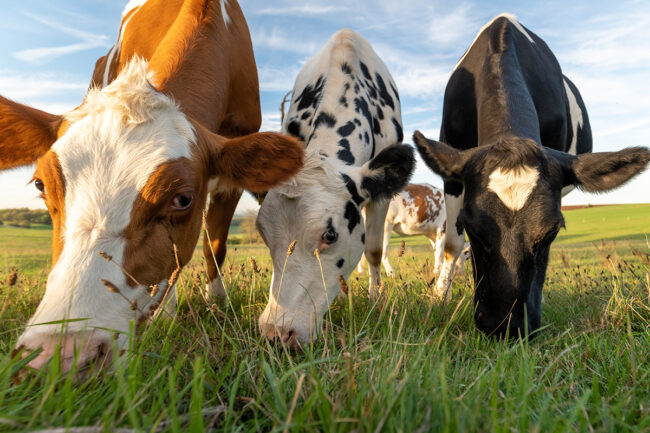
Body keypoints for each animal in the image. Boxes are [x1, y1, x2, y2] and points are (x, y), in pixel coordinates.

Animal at [0, 0, 304, 372]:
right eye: (41, 185)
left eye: (182, 198)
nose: (57, 356)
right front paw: (167, 315)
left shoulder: (233, 161)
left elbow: (213, 246)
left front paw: (217, 304)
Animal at [256, 28, 412, 346]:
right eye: (263, 234)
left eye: (330, 235)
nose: (276, 332)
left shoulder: (380, 195)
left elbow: (374, 249)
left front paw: (375, 301)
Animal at [412, 13, 644, 338]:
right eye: (472, 227)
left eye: (552, 231)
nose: (506, 326)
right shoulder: (452, 171)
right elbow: (452, 246)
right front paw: (438, 300)